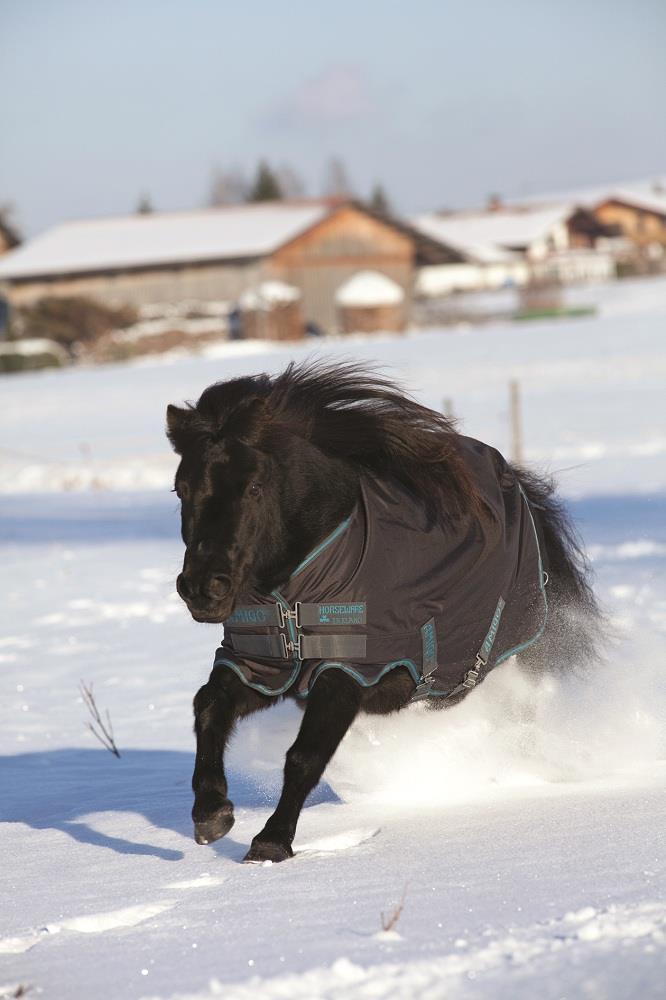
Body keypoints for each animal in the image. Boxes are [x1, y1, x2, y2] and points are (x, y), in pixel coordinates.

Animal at [166, 361, 601, 863]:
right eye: (181, 488)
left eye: (254, 486)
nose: (203, 589)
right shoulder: (263, 667)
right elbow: (208, 706)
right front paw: (211, 814)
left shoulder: (349, 672)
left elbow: (304, 755)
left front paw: (271, 843)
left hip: (529, 656)